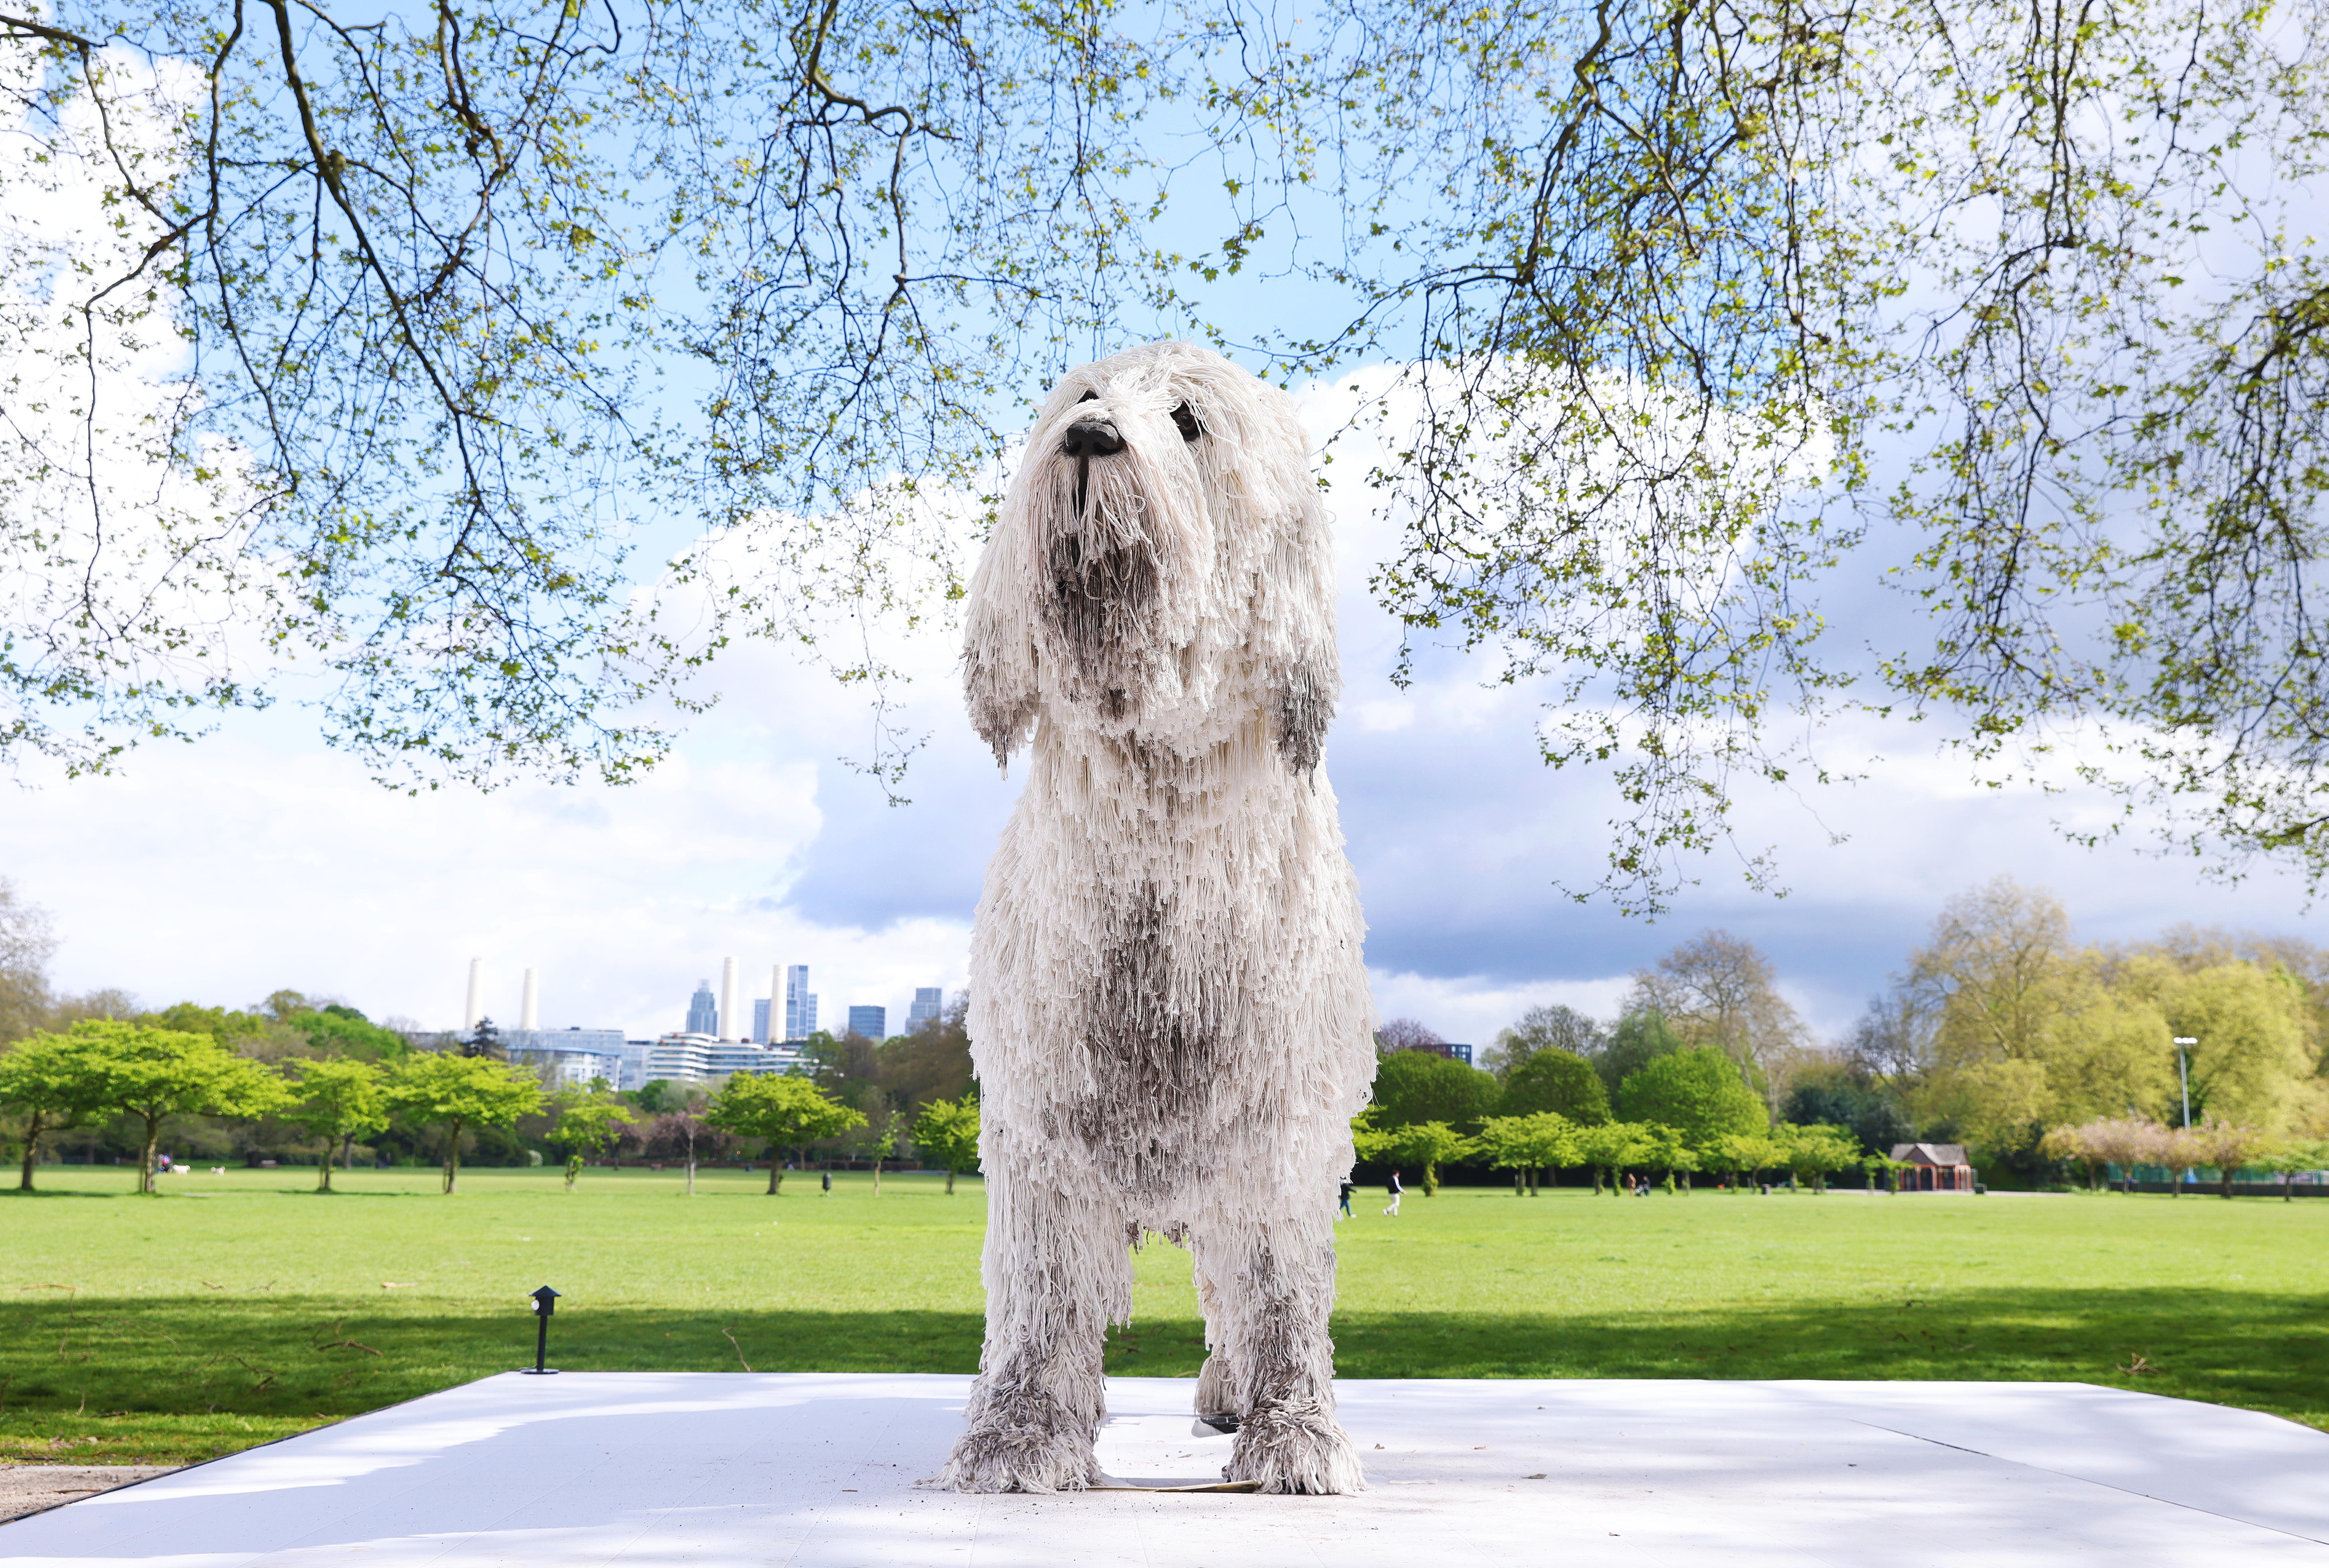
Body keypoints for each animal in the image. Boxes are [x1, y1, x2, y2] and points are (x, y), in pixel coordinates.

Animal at [941, 340, 1379, 1491]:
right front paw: (1018, 1438)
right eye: (1084, 396)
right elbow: (1043, 1296)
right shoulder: (1043, 1122)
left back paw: (1230, 1394)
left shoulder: (1277, 1126)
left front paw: (1294, 1437)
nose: (1092, 439)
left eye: (1188, 420)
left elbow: (1278, 1290)